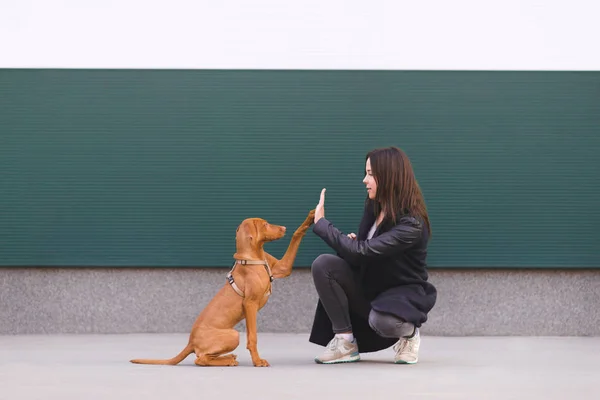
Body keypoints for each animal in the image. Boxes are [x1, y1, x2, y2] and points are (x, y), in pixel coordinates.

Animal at [129, 209, 316, 368]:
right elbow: (253, 337)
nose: (284, 228)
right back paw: (227, 361)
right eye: (265, 224)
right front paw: (257, 361)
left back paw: (228, 358)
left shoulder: (282, 268)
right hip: (233, 335)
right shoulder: (250, 304)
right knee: (200, 359)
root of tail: (190, 341)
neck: (254, 257)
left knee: (205, 357)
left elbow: (296, 235)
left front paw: (312, 216)